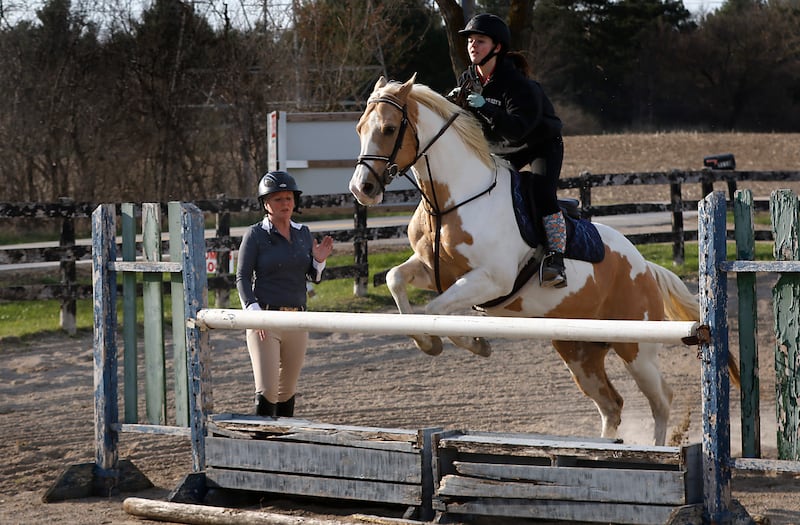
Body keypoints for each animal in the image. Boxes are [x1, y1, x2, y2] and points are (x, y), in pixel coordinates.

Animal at [348, 75, 738, 446]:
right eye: (359, 128)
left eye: (388, 129)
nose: (360, 189)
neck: (452, 200)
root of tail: (645, 268)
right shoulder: (435, 271)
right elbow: (397, 280)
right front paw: (434, 342)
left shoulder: (491, 279)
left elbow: (436, 310)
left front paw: (471, 343)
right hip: (579, 352)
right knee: (612, 404)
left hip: (636, 347)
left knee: (661, 399)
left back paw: (656, 450)